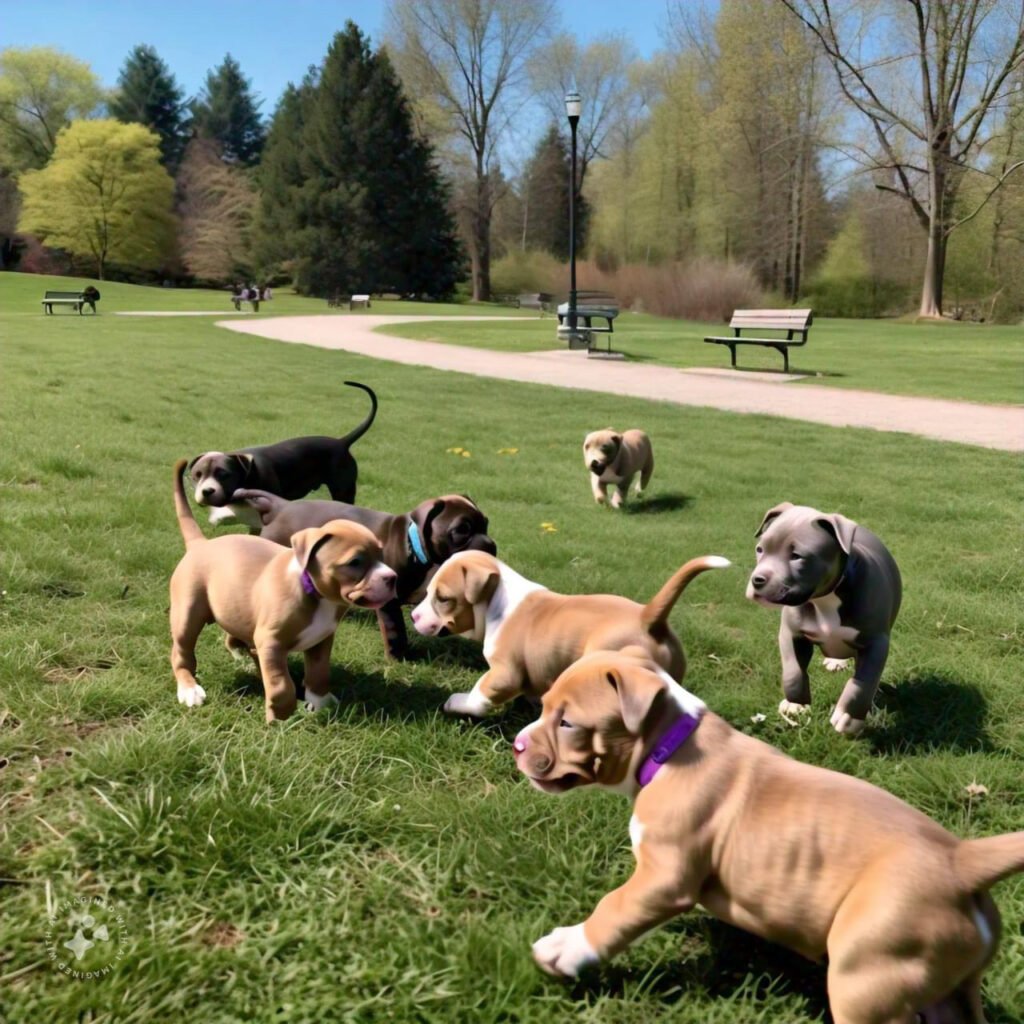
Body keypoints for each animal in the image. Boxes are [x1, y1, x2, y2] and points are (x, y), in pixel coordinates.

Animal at [167, 460, 395, 724]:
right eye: (355, 562)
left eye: (382, 555)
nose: (392, 578)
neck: (315, 593)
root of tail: (201, 543)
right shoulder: (272, 642)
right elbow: (281, 684)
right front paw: (281, 716)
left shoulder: (322, 639)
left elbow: (319, 672)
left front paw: (321, 701)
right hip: (187, 616)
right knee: (182, 654)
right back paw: (189, 690)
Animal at [187, 380, 376, 516]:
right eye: (197, 475)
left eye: (224, 475)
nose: (207, 491)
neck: (250, 473)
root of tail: (341, 442)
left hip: (344, 492)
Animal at [407, 552, 729, 712]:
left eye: (443, 598)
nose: (413, 616)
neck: (497, 598)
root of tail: (648, 616)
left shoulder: (504, 674)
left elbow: (479, 695)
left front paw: (457, 703)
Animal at [516, 651, 1024, 1019]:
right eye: (543, 706)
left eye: (567, 723)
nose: (518, 745)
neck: (670, 744)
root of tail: (961, 861)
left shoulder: (665, 877)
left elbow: (615, 907)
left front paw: (565, 948)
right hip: (948, 987)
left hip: (869, 973)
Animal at [745, 503, 905, 737]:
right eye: (760, 549)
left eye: (796, 556)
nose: (757, 580)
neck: (824, 598)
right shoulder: (791, 633)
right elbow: (793, 670)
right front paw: (795, 703)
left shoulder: (876, 643)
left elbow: (863, 682)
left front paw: (849, 716)